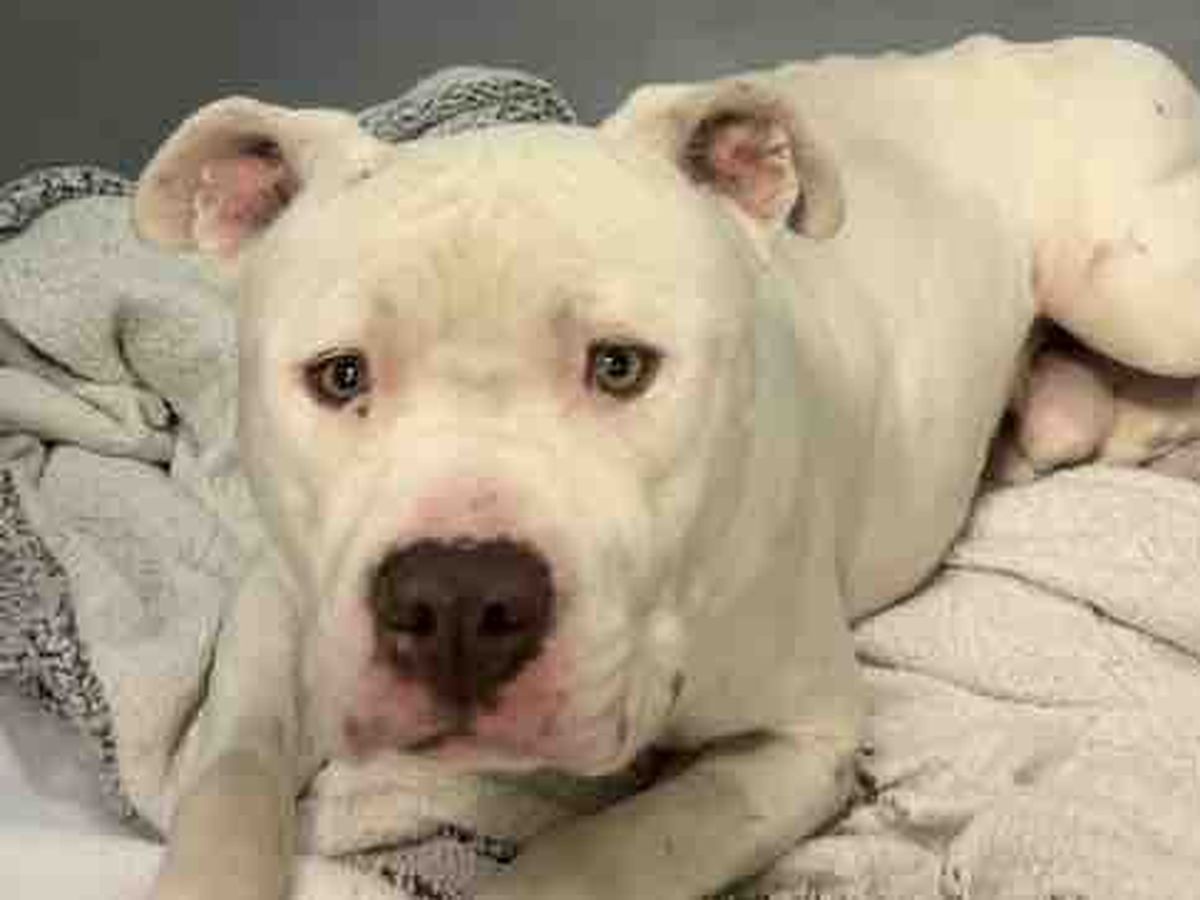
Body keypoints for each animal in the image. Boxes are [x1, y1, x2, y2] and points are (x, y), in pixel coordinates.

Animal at [132, 34, 1200, 900]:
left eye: (620, 366)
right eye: (340, 375)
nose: (457, 602)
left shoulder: (800, 743)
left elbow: (597, 854)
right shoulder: (277, 608)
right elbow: (228, 779)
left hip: (1132, 286)